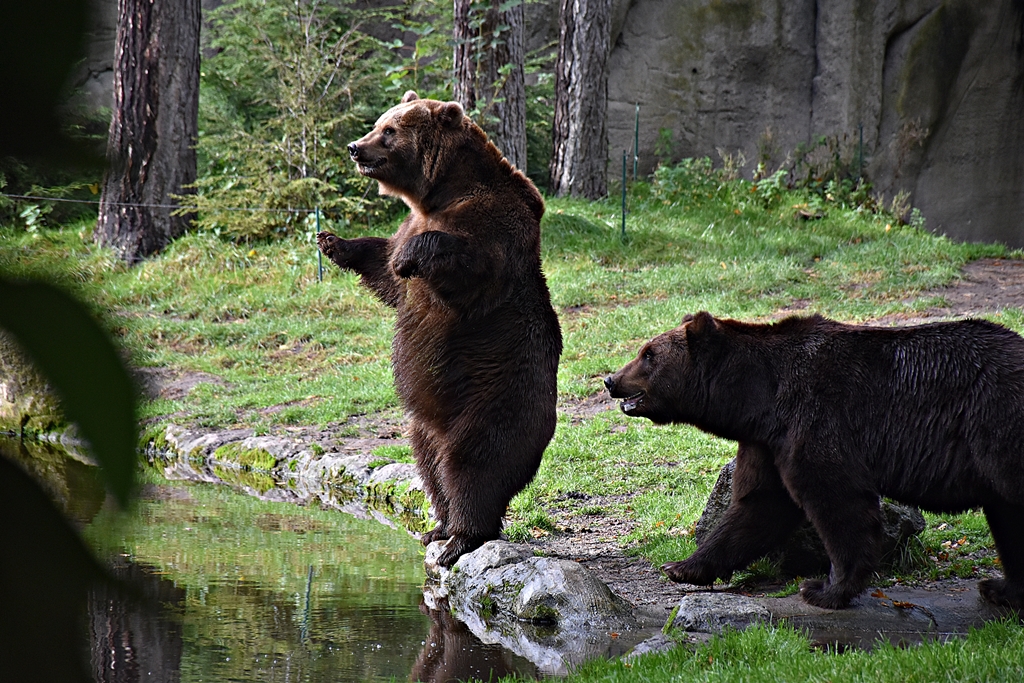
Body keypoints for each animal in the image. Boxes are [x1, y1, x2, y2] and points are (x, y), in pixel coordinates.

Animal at [317, 91, 562, 568]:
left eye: (389, 131)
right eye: (379, 123)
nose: (355, 147)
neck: (440, 193)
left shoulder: (492, 227)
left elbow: (466, 265)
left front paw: (408, 257)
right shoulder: (412, 221)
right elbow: (385, 272)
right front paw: (334, 242)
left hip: (493, 400)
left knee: (472, 465)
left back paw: (460, 538)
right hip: (424, 426)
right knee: (430, 466)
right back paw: (438, 527)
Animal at [604, 311, 1024, 610]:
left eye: (648, 354)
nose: (610, 380)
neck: (762, 399)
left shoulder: (817, 417)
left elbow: (836, 501)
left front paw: (825, 588)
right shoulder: (768, 443)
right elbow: (758, 505)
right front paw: (683, 567)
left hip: (997, 421)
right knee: (1008, 516)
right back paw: (1001, 587)